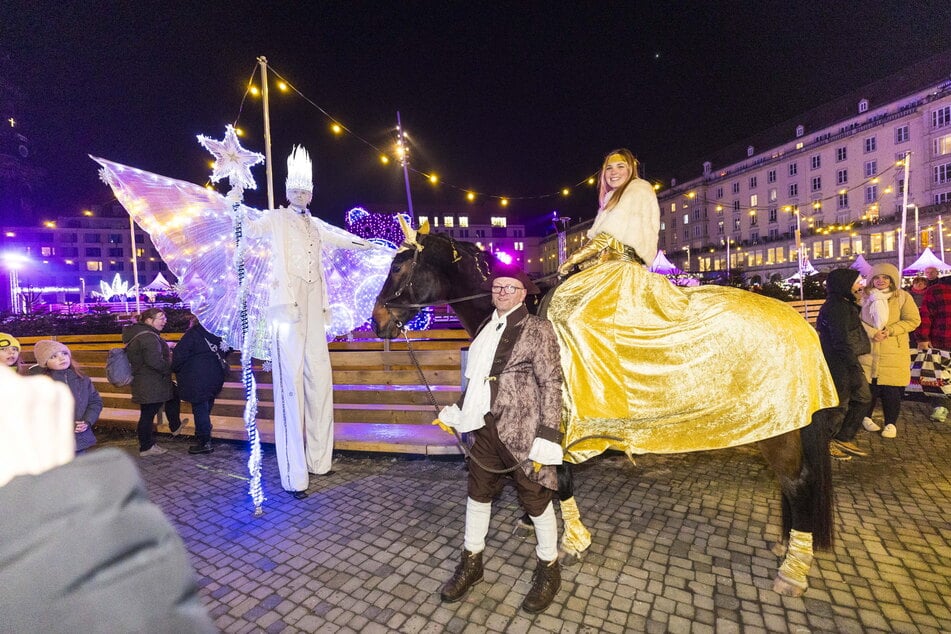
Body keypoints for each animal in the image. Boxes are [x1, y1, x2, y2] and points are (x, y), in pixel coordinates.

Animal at [372, 225, 832, 596]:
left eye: (397, 267)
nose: (376, 321)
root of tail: (799, 322)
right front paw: (531, 518)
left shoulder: (555, 424)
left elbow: (561, 481)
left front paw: (571, 538)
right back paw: (787, 543)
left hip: (778, 430)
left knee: (798, 483)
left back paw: (793, 568)